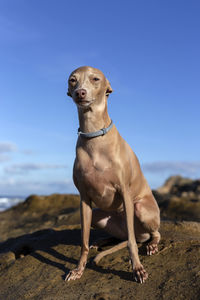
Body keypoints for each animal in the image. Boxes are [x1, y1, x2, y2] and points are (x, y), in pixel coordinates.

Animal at [65, 66, 161, 284]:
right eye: (73, 80)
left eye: (95, 79)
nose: (80, 93)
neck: (94, 136)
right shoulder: (84, 199)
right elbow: (83, 242)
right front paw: (78, 269)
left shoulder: (125, 192)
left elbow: (132, 244)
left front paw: (137, 269)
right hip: (98, 215)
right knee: (123, 236)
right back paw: (102, 241)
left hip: (140, 209)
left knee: (149, 234)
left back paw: (151, 244)